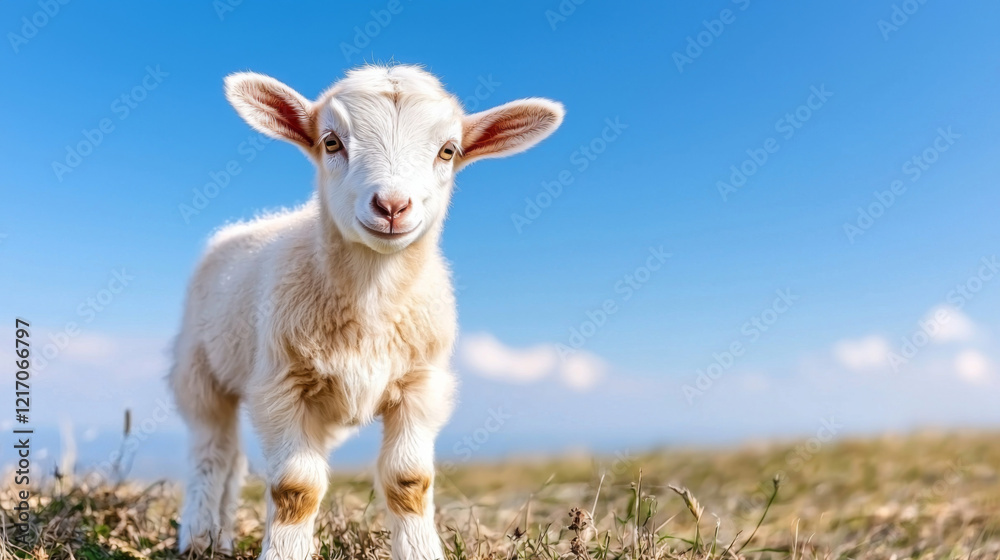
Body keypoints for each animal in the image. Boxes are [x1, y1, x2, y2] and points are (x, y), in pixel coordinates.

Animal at [168, 64, 564, 560]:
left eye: (448, 150)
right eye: (332, 142)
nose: (392, 206)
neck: (371, 308)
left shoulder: (420, 384)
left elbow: (408, 481)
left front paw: (420, 551)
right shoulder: (281, 383)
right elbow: (296, 488)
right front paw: (284, 550)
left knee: (239, 459)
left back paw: (223, 536)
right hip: (199, 371)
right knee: (212, 451)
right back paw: (200, 535)